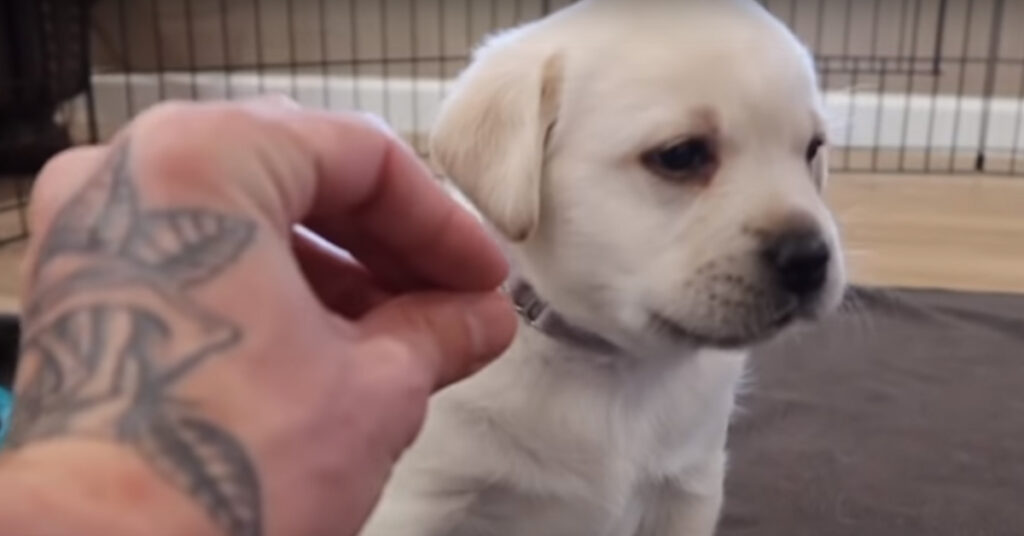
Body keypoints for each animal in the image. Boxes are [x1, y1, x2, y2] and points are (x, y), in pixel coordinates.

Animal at [362, 1, 847, 536]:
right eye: (680, 155)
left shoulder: (689, 487)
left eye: (812, 149)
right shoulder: (419, 498)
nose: (809, 258)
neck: (612, 366)